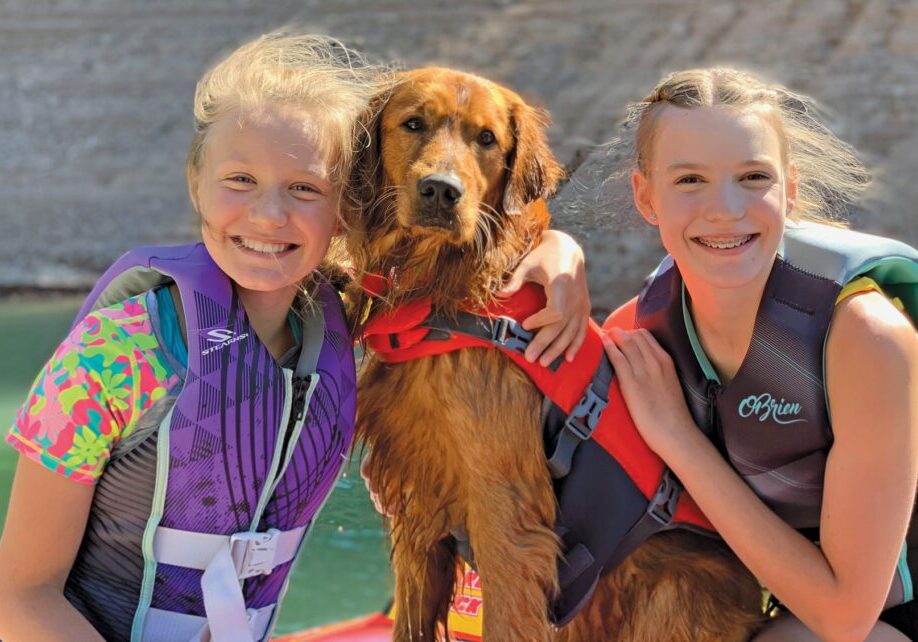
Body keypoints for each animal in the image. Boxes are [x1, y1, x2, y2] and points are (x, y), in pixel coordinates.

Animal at [344, 67, 760, 636]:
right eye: (412, 123)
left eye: (486, 138)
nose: (441, 191)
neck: (443, 285)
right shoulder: (418, 506)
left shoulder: (507, 518)